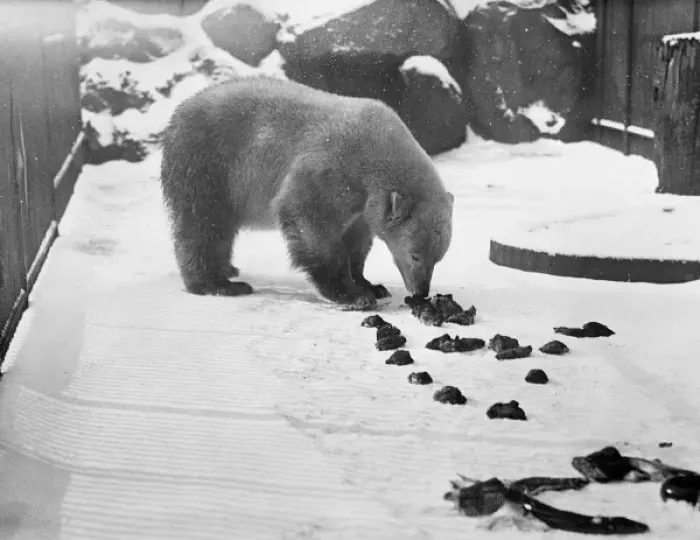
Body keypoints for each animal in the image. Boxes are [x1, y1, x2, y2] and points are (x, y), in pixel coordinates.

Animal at [160, 76, 454, 310]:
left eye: (438, 257)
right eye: (415, 255)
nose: (421, 292)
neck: (374, 149)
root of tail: (180, 111)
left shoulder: (361, 203)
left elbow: (358, 239)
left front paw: (370, 285)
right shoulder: (331, 167)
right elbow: (309, 218)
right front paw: (352, 295)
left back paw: (228, 269)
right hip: (208, 163)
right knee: (204, 223)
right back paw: (217, 283)